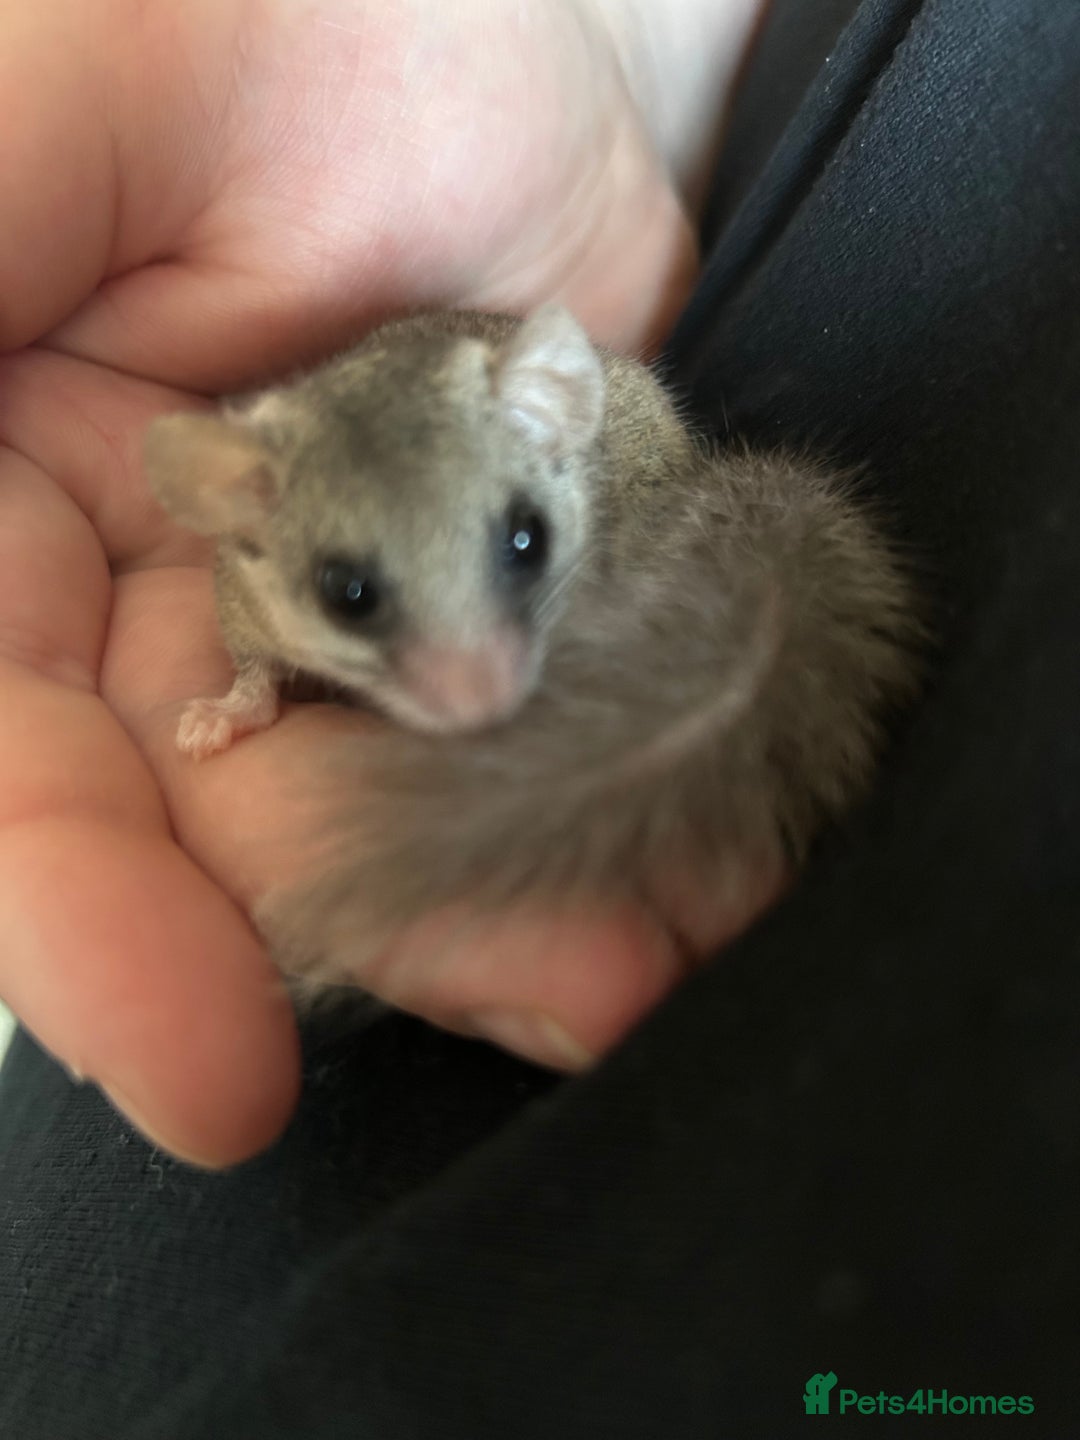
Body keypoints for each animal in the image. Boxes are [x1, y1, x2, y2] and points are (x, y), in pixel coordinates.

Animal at [144, 305, 921, 990]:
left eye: (528, 540)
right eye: (347, 593)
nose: (487, 709)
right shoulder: (242, 600)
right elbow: (254, 674)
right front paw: (215, 721)